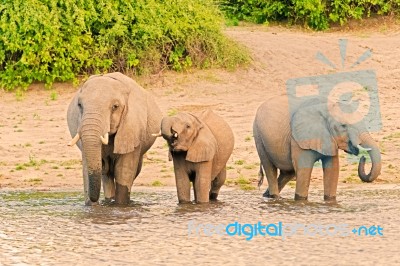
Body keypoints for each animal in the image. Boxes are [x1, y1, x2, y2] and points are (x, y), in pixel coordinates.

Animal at [67, 72, 162, 206]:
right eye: (79, 105)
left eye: (115, 107)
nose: (94, 200)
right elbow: (87, 169)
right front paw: (92, 207)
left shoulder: (132, 126)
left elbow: (123, 171)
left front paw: (120, 205)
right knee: (106, 176)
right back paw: (109, 199)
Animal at [253, 94, 382, 201]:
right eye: (343, 126)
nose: (363, 158)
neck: (327, 107)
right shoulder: (299, 138)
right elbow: (304, 170)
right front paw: (300, 201)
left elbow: (333, 170)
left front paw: (330, 201)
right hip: (258, 136)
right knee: (270, 169)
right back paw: (274, 197)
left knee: (288, 173)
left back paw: (267, 196)